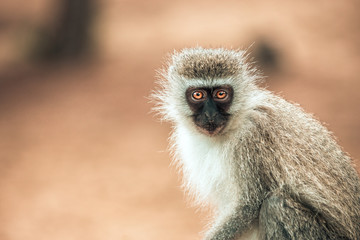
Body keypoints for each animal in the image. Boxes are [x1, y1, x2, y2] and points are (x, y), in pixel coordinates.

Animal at [152, 47, 360, 239]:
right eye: (198, 95)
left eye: (221, 94)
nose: (210, 114)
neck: (233, 126)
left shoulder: (251, 139)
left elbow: (249, 205)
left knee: (275, 205)